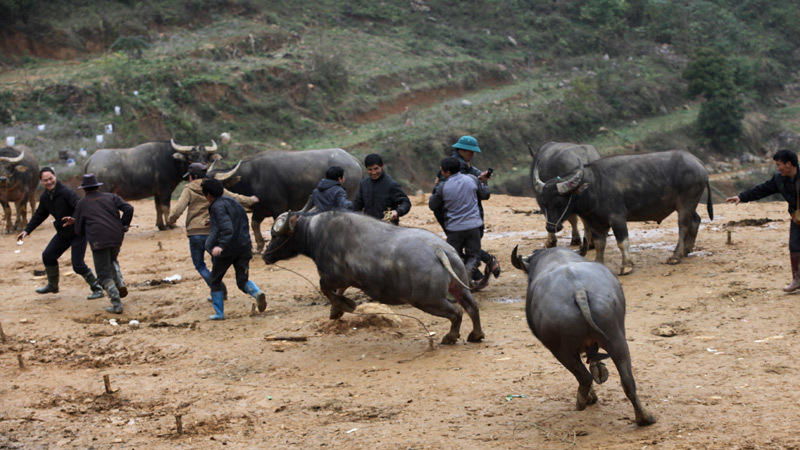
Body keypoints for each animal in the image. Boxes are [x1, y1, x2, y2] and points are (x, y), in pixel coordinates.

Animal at [212, 148, 362, 253]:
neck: (251, 179)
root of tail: (354, 161)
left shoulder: (278, 207)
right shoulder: (260, 209)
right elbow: (254, 224)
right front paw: (259, 245)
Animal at [266, 211, 484, 344]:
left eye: (275, 236)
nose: (266, 255)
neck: (313, 233)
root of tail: (438, 249)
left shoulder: (333, 276)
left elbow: (325, 288)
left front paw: (345, 306)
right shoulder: (345, 280)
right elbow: (336, 291)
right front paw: (336, 310)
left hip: (427, 301)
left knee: (457, 311)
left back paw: (450, 337)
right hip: (458, 286)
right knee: (472, 306)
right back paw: (476, 334)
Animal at [512, 246, 656, 426]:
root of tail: (579, 292)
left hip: (561, 351)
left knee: (584, 377)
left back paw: (582, 401)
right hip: (617, 338)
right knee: (627, 380)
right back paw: (644, 417)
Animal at [532, 150, 712, 274]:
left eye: (559, 202)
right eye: (543, 203)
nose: (550, 227)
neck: (594, 188)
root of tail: (697, 162)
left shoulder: (617, 218)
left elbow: (622, 242)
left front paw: (626, 266)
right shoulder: (596, 223)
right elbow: (600, 244)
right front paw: (599, 262)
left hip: (685, 203)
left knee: (683, 226)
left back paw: (676, 255)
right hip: (690, 205)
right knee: (695, 221)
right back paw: (687, 249)